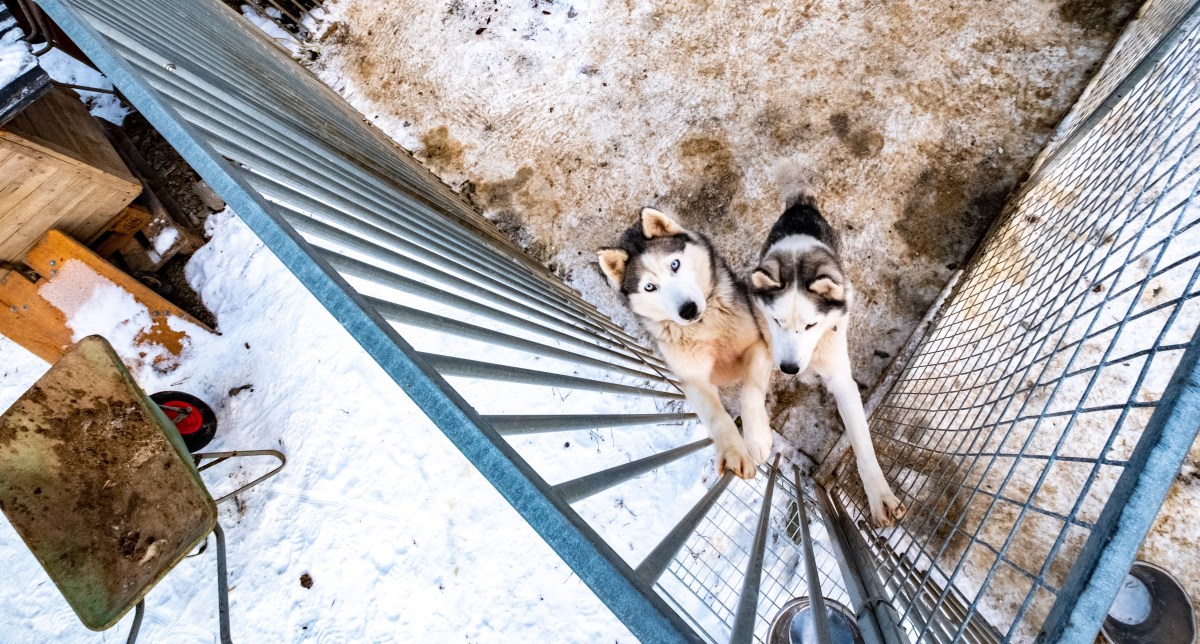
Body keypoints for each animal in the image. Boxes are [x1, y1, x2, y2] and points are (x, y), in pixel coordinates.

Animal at [600, 207, 777, 477]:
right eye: (649, 287)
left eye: (675, 264)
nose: (688, 310)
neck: (704, 328)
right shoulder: (693, 379)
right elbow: (717, 416)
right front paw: (733, 452)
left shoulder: (757, 343)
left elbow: (751, 389)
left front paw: (756, 438)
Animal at [744, 195, 902, 527]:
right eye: (777, 321)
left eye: (811, 325)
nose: (789, 369)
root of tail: (801, 204)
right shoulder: (766, 342)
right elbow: (751, 389)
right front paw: (757, 436)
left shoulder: (841, 377)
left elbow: (862, 441)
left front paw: (879, 495)